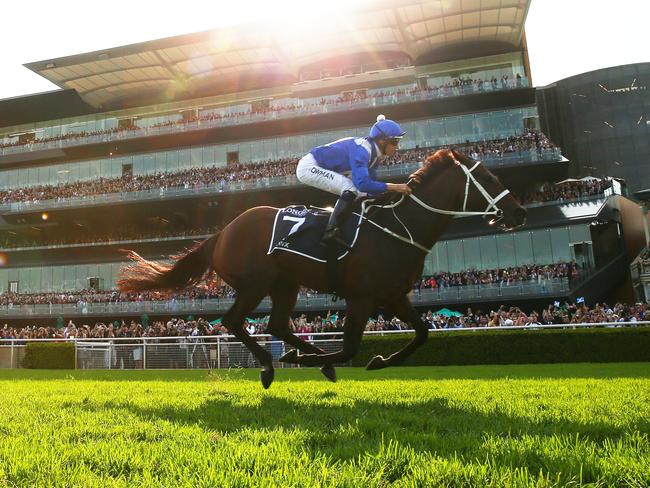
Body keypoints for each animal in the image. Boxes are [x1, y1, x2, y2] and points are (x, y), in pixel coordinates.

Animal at [117, 150, 528, 388]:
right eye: (489, 178)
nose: (520, 212)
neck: (400, 228)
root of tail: (221, 232)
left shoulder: (394, 296)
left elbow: (423, 333)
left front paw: (379, 361)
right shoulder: (362, 298)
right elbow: (348, 349)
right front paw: (322, 360)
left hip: (285, 283)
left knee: (277, 325)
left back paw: (300, 357)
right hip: (256, 283)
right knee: (236, 322)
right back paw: (270, 366)